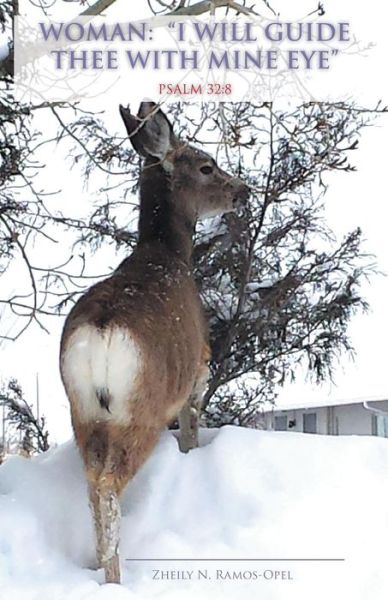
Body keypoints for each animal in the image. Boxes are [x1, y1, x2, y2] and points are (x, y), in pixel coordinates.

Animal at [59, 101, 250, 584]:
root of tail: (102, 331)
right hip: (139, 408)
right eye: (206, 165)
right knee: (109, 485)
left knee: (92, 483)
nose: (242, 190)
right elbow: (191, 430)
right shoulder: (198, 369)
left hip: (82, 410)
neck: (169, 256)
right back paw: (115, 576)